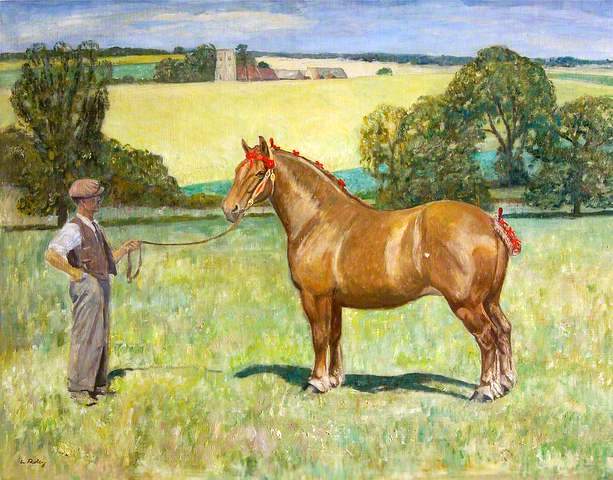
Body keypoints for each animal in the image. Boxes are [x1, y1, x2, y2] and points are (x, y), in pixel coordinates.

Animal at [221, 137, 516, 404]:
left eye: (259, 173)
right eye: (237, 171)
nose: (229, 209)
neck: (318, 219)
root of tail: (490, 222)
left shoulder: (314, 296)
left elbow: (319, 336)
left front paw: (316, 382)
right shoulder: (334, 299)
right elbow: (334, 336)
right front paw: (335, 379)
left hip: (466, 303)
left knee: (487, 337)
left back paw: (484, 390)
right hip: (490, 299)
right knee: (503, 329)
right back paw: (505, 383)